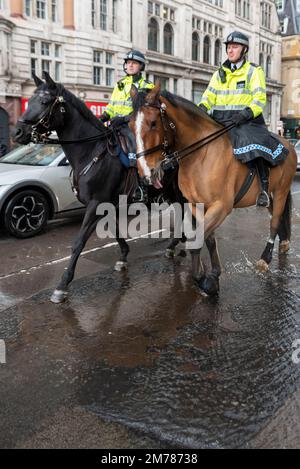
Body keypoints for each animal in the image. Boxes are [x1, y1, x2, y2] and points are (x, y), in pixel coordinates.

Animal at [13, 72, 183, 302]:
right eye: (29, 100)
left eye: (45, 101)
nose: (18, 132)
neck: (91, 151)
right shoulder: (104, 203)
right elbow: (115, 230)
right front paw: (123, 256)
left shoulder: (95, 203)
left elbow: (78, 242)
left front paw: (63, 285)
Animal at [129, 85, 298, 292]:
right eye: (130, 125)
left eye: (153, 123)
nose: (146, 172)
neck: (201, 155)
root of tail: (289, 144)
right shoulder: (197, 205)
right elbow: (207, 239)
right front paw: (213, 273)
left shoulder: (221, 207)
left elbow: (196, 241)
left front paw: (205, 280)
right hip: (272, 195)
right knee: (277, 216)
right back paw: (283, 243)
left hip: (282, 190)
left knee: (274, 222)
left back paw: (265, 259)